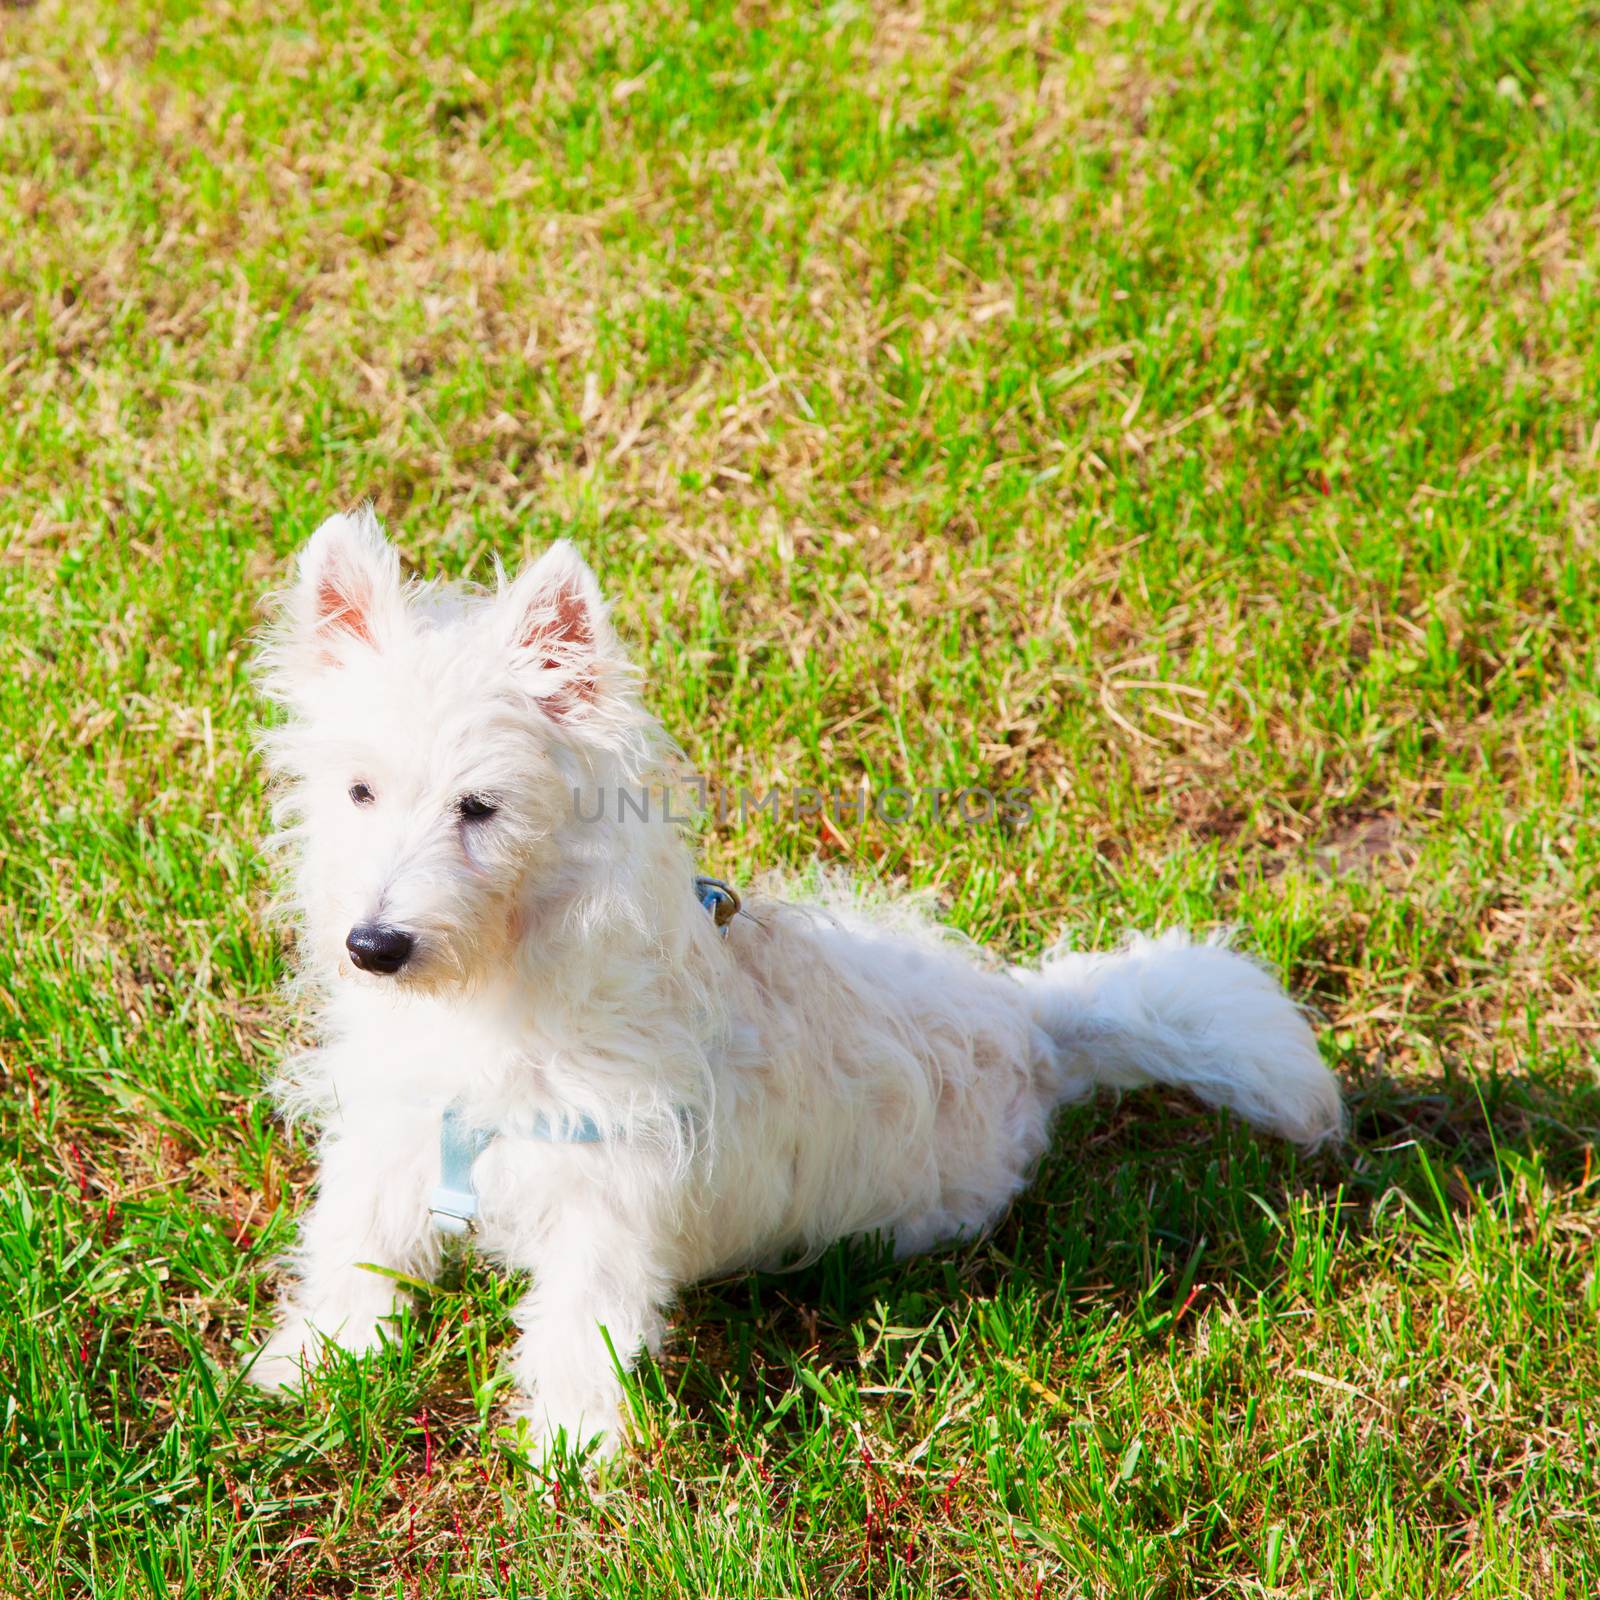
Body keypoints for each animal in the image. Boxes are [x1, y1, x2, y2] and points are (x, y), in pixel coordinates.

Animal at [249, 508, 1344, 1452]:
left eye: (480, 807)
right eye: (359, 791)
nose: (373, 946)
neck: (495, 981)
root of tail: (1036, 1026)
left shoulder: (610, 1193)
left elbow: (579, 1319)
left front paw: (572, 1448)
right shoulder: (392, 1133)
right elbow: (354, 1246)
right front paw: (307, 1367)